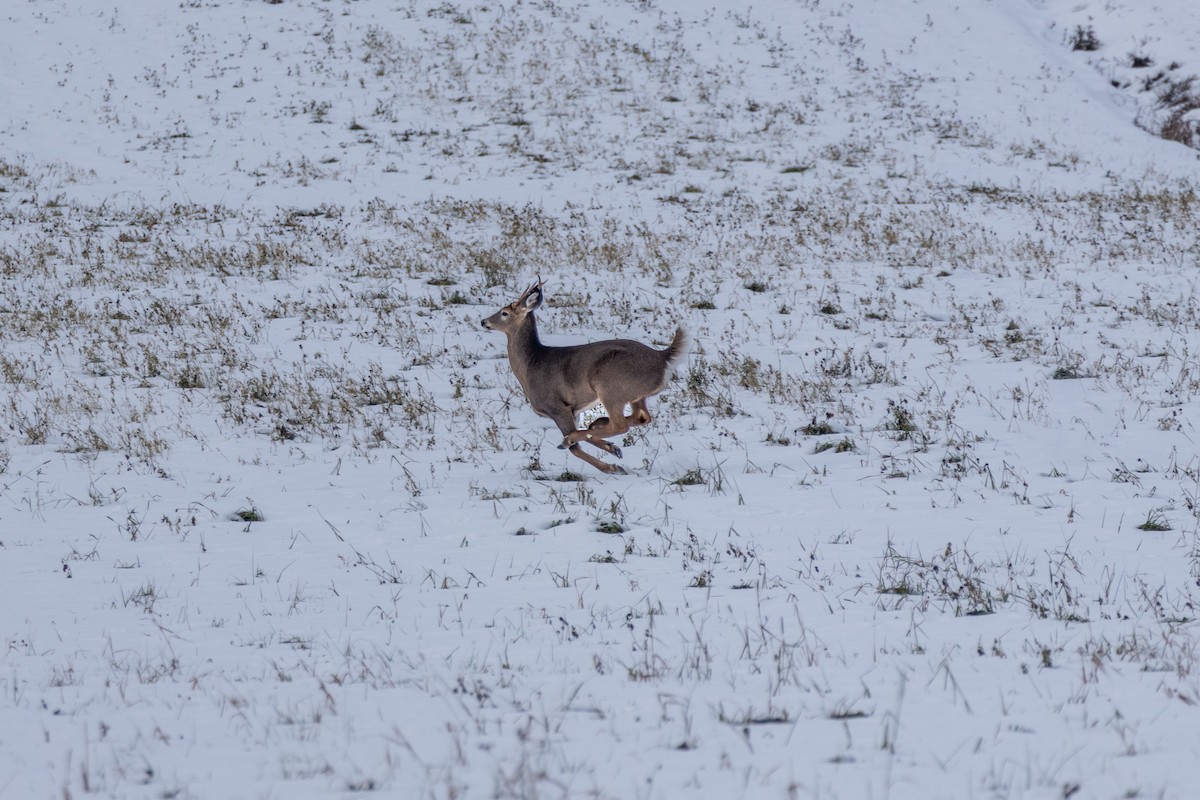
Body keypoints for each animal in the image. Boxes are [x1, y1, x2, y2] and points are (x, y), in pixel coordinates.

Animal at [481, 280, 686, 475]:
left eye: (504, 313)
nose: (484, 321)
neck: (532, 364)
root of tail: (662, 357)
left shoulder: (558, 407)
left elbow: (576, 449)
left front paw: (611, 466)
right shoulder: (574, 410)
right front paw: (612, 448)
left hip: (609, 387)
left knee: (619, 425)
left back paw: (582, 437)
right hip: (634, 394)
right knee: (642, 417)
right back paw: (598, 425)